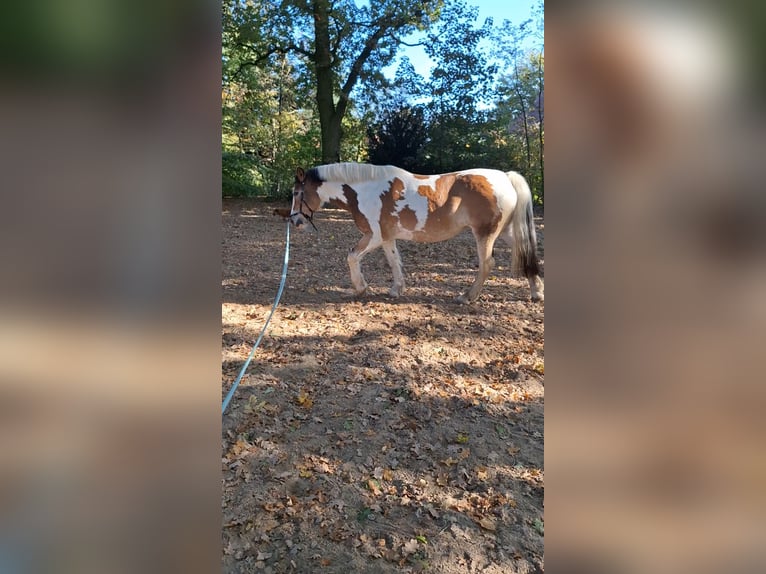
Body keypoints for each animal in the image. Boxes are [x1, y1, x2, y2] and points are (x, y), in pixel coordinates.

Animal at [288, 164, 544, 304]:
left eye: (297, 193)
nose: (295, 221)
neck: (364, 190)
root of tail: (505, 177)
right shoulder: (387, 237)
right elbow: (394, 261)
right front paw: (397, 289)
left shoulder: (374, 236)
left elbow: (352, 256)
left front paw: (360, 287)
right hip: (506, 231)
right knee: (525, 253)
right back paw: (537, 292)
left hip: (485, 233)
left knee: (487, 264)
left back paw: (466, 297)